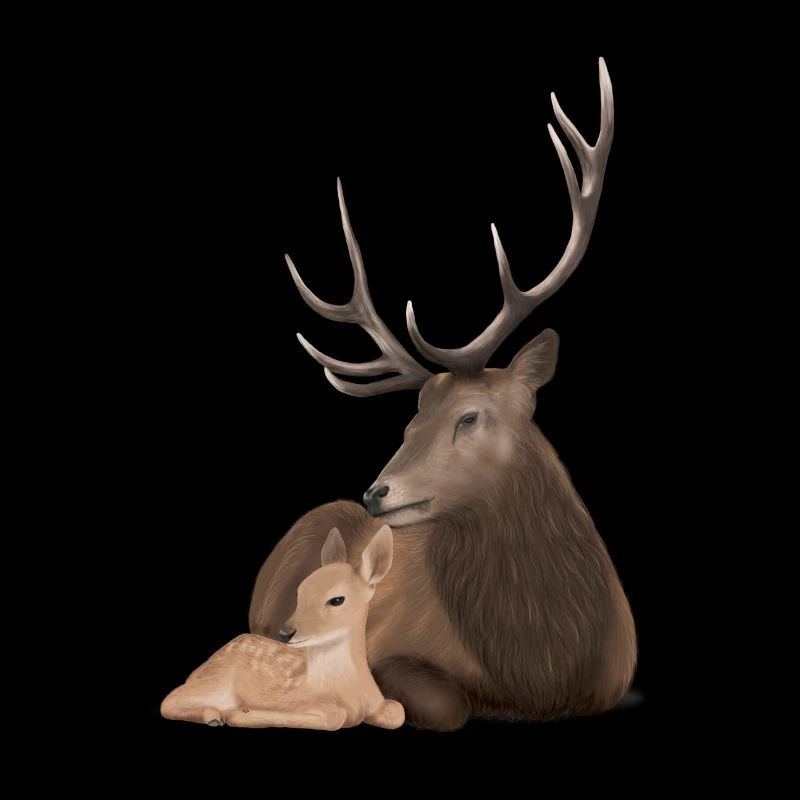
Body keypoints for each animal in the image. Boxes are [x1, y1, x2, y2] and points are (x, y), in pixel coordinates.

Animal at [162, 525, 404, 730]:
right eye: (299, 592)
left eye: (337, 600)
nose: (285, 632)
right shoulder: (295, 699)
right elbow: (336, 716)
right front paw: (243, 713)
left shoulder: (379, 702)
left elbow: (398, 711)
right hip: (216, 681)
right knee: (170, 700)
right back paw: (213, 715)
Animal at [250, 58, 636, 731]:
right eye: (409, 422)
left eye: (469, 416)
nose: (376, 491)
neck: (542, 672)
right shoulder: (388, 649)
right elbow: (445, 703)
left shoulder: (619, 675)